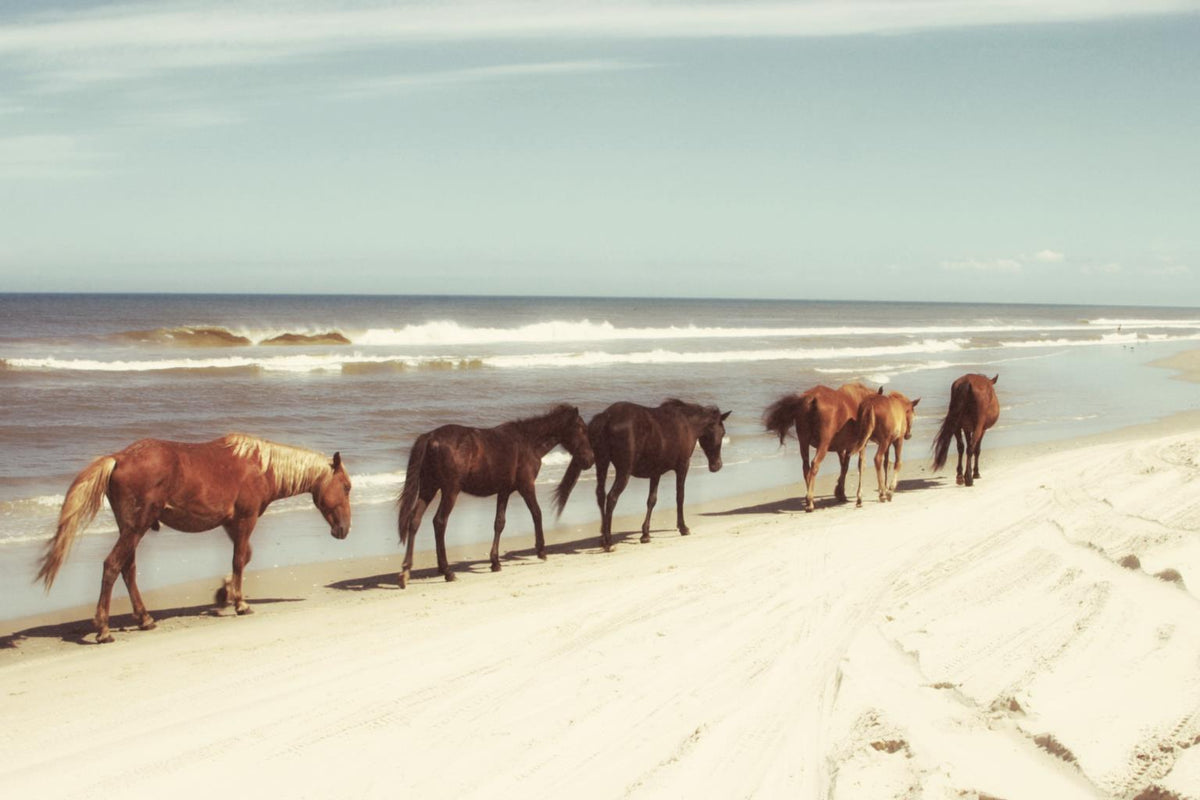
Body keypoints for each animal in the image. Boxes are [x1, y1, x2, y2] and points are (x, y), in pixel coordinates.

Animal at [36, 434, 352, 644]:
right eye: (346, 487)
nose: (345, 529)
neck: (262, 467)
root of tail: (119, 458)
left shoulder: (231, 523)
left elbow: (243, 558)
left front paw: (224, 593)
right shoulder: (245, 520)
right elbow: (240, 559)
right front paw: (239, 603)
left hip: (130, 529)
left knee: (127, 570)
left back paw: (145, 619)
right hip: (135, 528)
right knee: (113, 566)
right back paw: (103, 629)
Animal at [395, 404, 594, 588]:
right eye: (582, 429)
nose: (590, 460)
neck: (527, 441)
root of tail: (431, 437)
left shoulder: (504, 491)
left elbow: (499, 523)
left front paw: (495, 562)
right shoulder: (526, 486)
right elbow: (537, 513)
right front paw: (541, 551)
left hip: (429, 488)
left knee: (414, 521)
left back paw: (406, 571)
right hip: (450, 491)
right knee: (439, 522)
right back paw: (447, 571)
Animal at [553, 400, 731, 552]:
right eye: (722, 432)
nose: (717, 465)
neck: (686, 423)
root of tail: (606, 417)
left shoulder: (655, 472)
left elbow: (651, 500)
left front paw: (645, 534)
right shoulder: (682, 467)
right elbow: (680, 496)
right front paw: (683, 527)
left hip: (602, 464)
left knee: (600, 495)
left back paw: (603, 537)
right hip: (623, 472)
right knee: (611, 498)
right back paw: (609, 541)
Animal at [763, 382, 875, 512]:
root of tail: (812, 398)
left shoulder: (842, 448)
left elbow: (844, 467)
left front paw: (840, 492)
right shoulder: (859, 446)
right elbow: (859, 466)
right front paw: (857, 497)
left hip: (804, 441)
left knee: (806, 467)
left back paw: (808, 498)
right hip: (823, 444)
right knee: (815, 464)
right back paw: (810, 500)